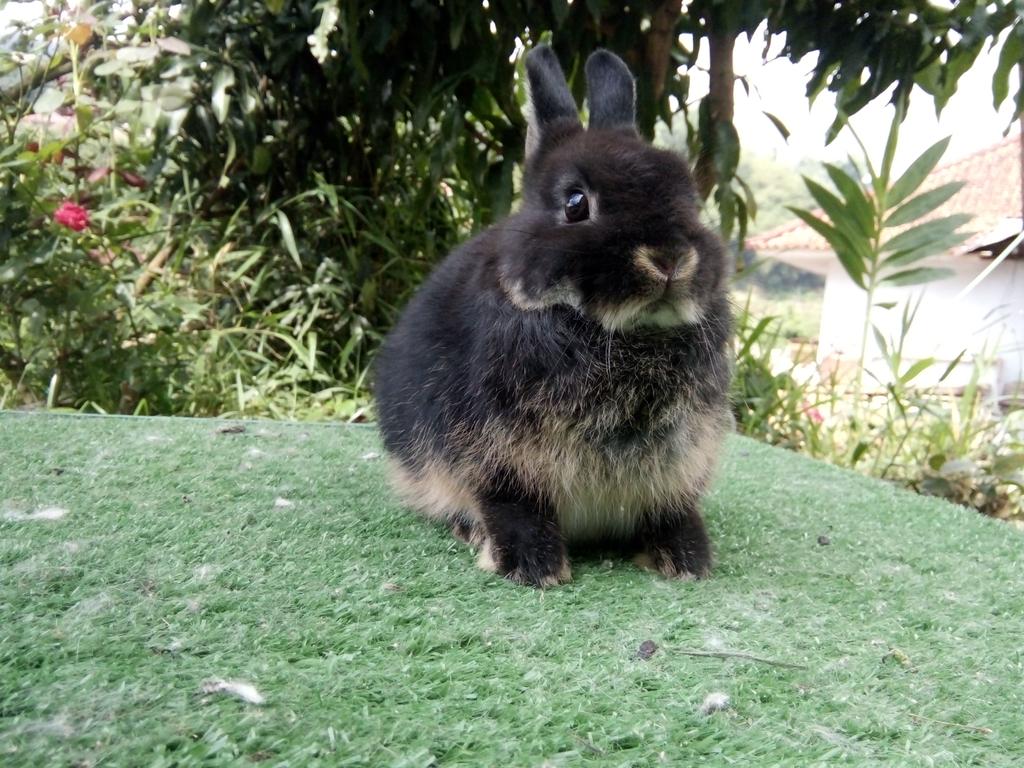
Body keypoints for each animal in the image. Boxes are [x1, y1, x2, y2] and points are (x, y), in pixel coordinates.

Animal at [373, 45, 733, 588]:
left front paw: (686, 560)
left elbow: (668, 511)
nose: (669, 258)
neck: (624, 335)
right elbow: (514, 506)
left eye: (690, 197)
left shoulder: (676, 471)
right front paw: (534, 567)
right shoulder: (498, 462)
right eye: (575, 203)